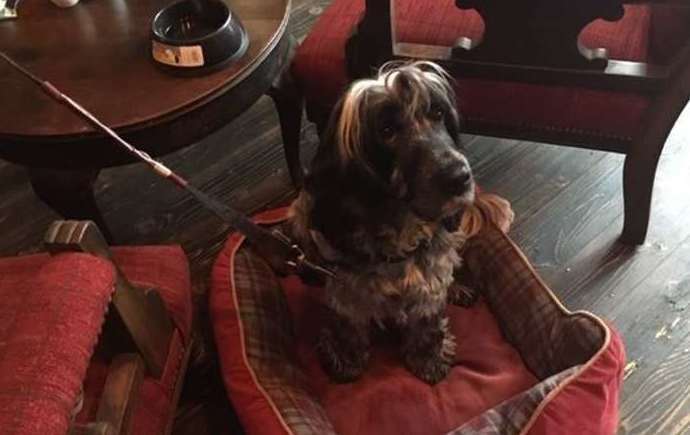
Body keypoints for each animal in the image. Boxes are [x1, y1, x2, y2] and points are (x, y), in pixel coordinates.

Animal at [286, 61, 472, 384]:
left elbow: (429, 317)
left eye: (437, 113)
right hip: (300, 214)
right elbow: (348, 322)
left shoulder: (431, 275)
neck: (401, 227)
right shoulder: (345, 286)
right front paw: (345, 357)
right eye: (387, 130)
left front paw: (428, 357)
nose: (460, 177)